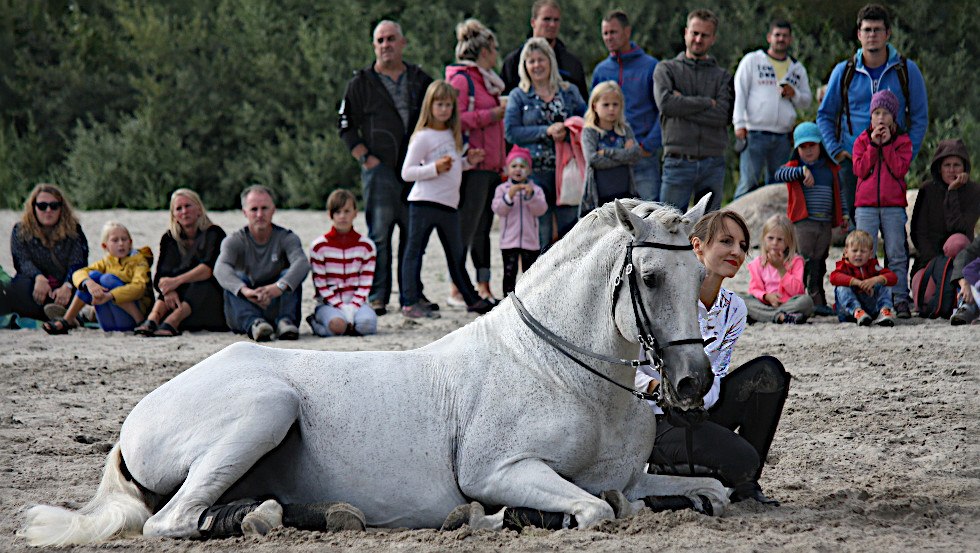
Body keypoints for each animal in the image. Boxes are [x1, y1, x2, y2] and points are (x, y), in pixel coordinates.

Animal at [21, 197, 728, 544]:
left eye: (701, 271)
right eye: (651, 276)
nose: (693, 382)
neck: (566, 373)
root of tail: (132, 422)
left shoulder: (630, 477)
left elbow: (705, 491)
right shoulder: (501, 472)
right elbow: (595, 510)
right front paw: (513, 518)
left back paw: (290, 515)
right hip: (265, 409)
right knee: (169, 521)